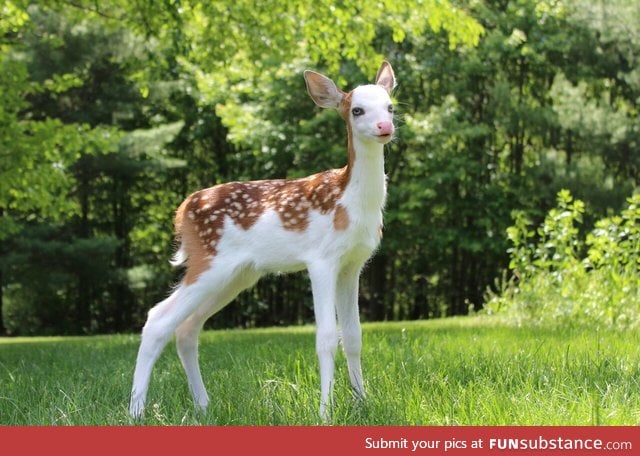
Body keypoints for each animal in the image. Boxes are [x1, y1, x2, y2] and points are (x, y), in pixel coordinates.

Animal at [131, 60, 396, 420]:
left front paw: (361, 403)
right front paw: (325, 413)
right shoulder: (321, 259)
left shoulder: (352, 264)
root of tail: (183, 209)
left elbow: (353, 336)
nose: (385, 126)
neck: (350, 201)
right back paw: (136, 412)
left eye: (390, 106)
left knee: (186, 328)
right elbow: (327, 337)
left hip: (236, 274)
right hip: (209, 261)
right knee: (157, 319)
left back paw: (203, 406)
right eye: (357, 110)